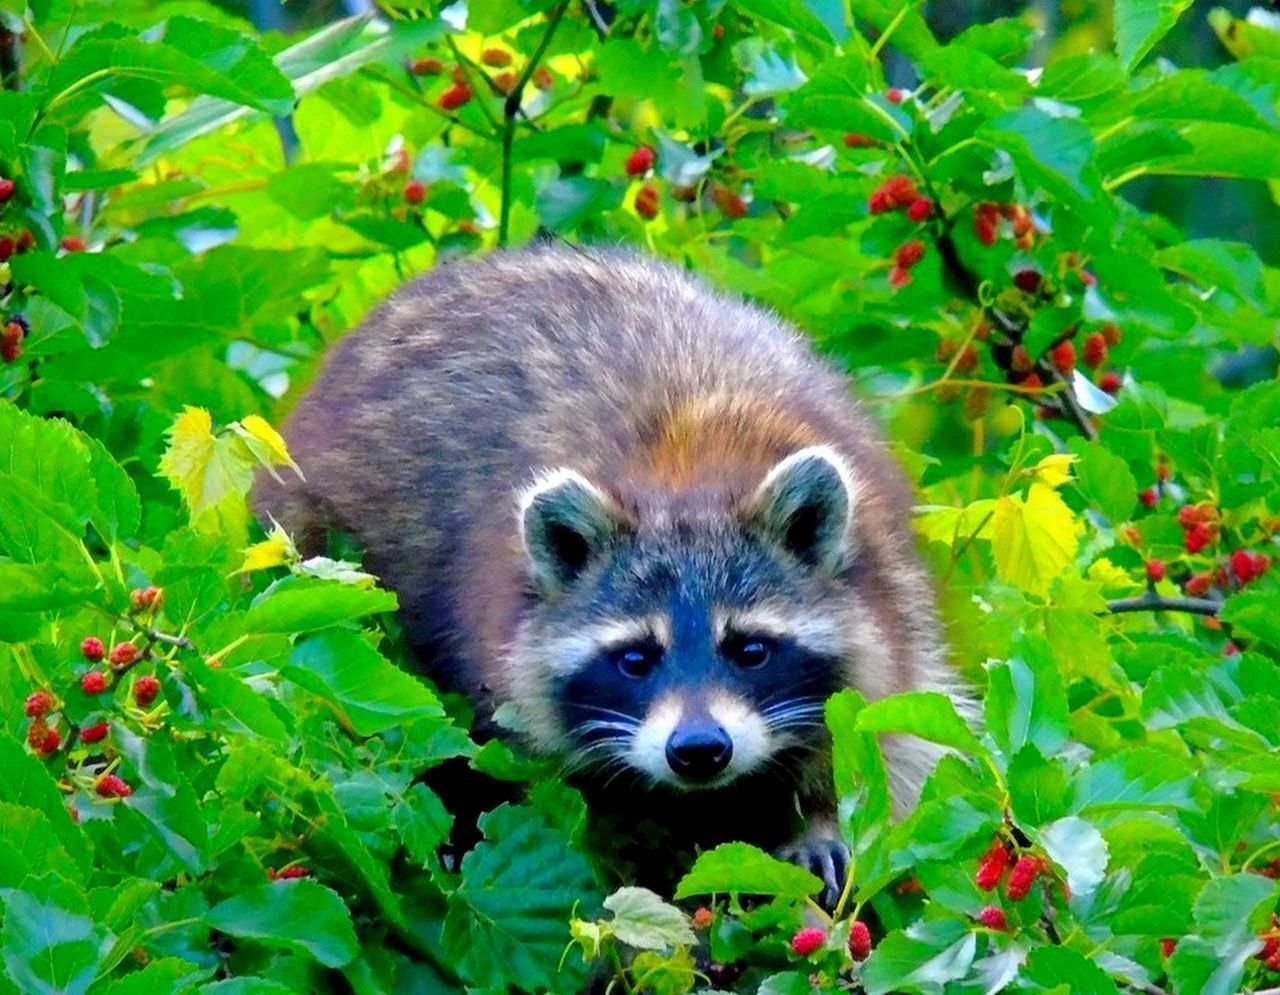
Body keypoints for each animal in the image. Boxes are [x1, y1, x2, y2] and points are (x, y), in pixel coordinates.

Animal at [252, 244, 967, 896]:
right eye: (635, 659)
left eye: (750, 650)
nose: (699, 750)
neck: (686, 474)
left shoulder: (889, 589)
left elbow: (880, 727)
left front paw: (815, 817)